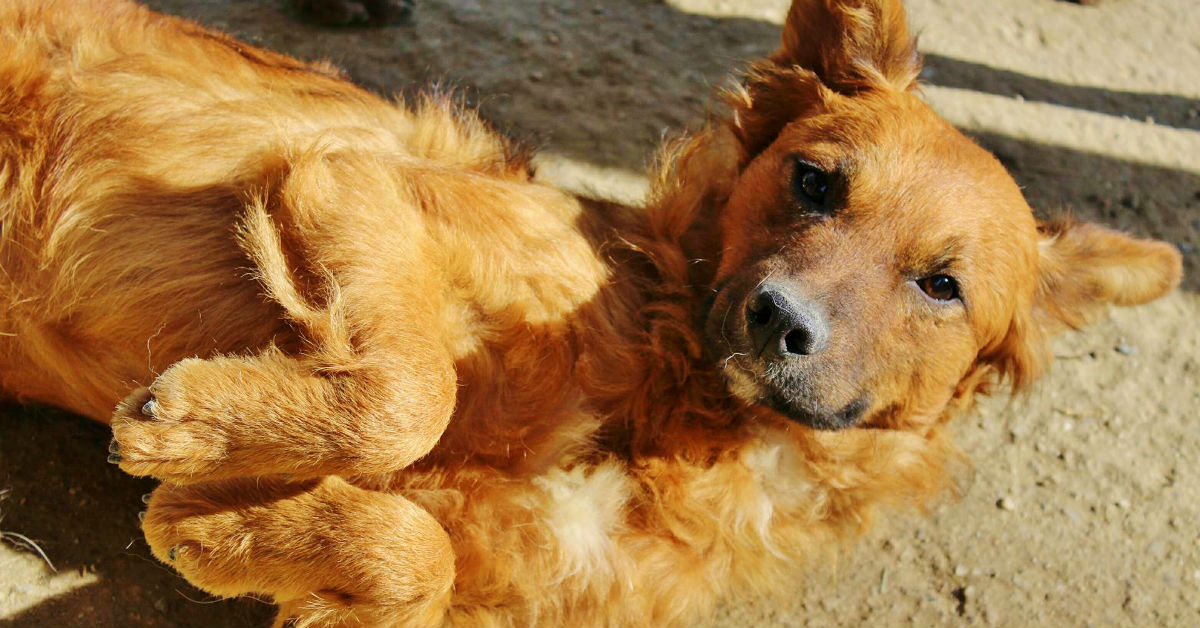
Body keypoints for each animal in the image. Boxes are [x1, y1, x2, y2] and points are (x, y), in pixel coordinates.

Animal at [0, 0, 1180, 624]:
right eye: (814, 181)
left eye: (941, 285)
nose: (776, 319)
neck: (672, 422)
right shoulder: (348, 178)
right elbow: (413, 399)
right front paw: (193, 425)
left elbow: (411, 555)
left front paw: (228, 522)